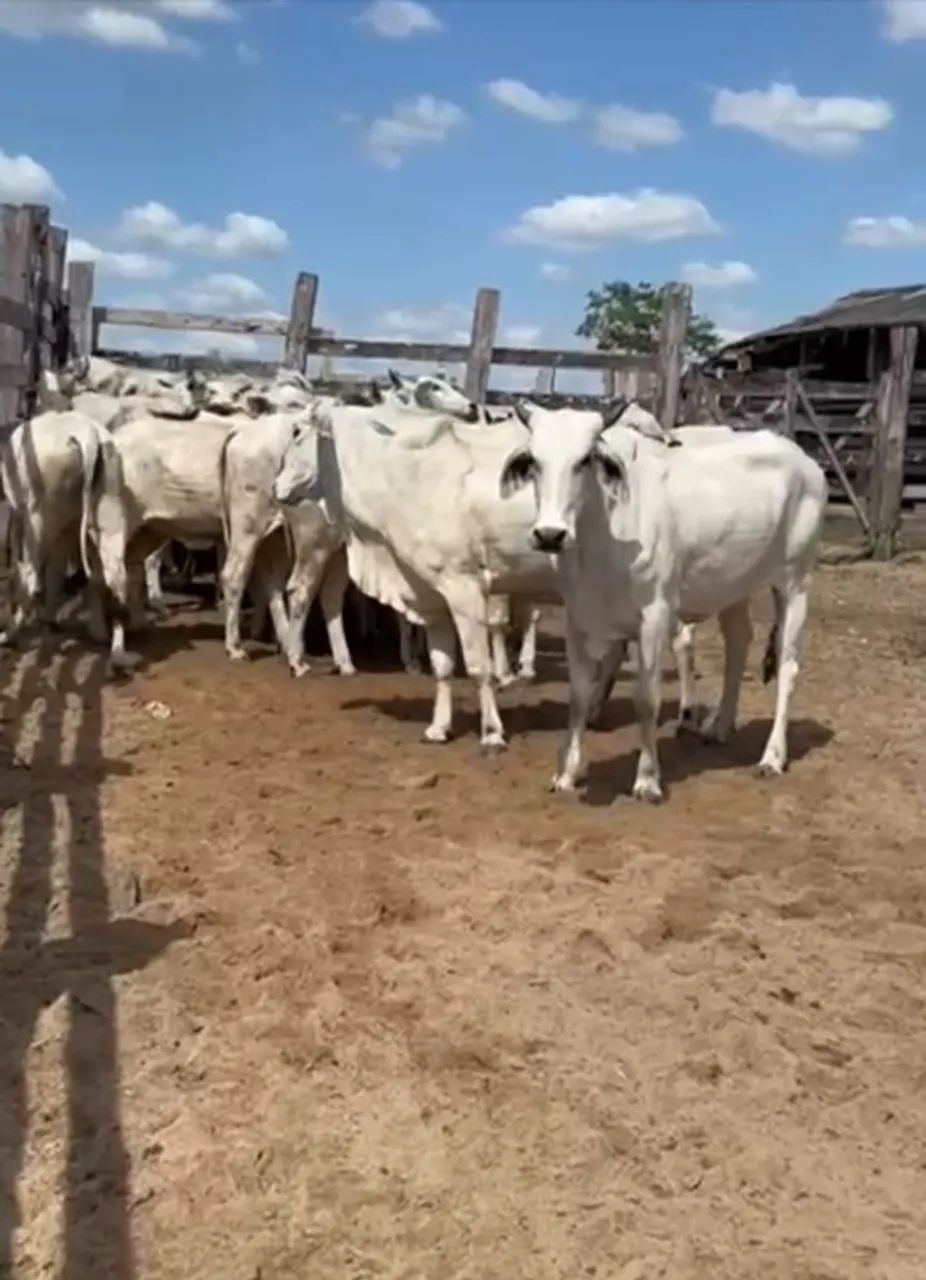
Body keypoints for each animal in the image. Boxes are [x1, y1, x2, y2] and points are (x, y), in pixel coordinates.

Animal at [498, 402, 827, 799]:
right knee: (738, 645)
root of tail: (805, 460)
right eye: (534, 460)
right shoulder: (577, 617)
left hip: (795, 582)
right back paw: (719, 726)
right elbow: (578, 696)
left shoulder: (653, 617)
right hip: (735, 585)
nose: (549, 534)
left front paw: (647, 779)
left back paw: (772, 757)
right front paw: (567, 775)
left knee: (788, 666)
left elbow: (646, 698)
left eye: (585, 459)